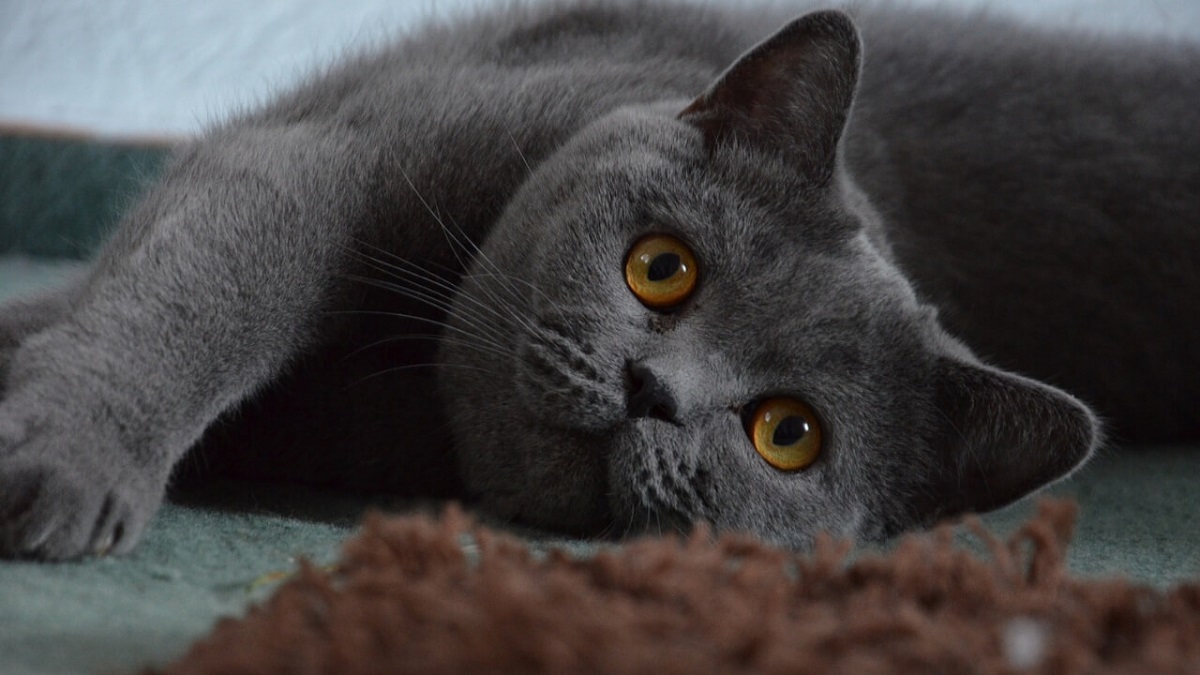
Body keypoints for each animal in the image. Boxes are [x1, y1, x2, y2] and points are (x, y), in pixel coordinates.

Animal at [0, 0, 1195, 557]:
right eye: (661, 269)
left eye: (789, 434)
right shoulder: (338, 154)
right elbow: (209, 293)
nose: (653, 390)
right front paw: (68, 458)